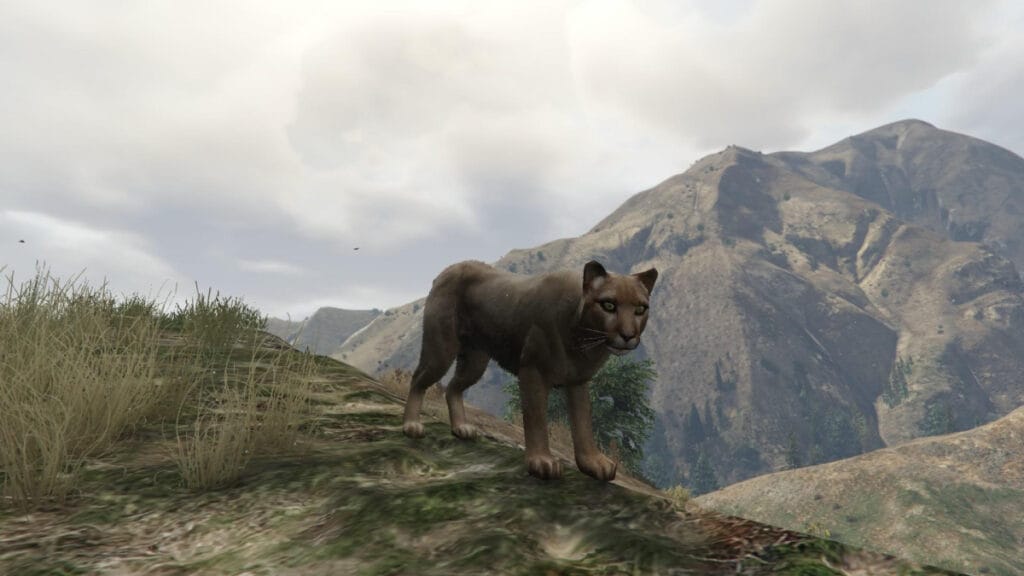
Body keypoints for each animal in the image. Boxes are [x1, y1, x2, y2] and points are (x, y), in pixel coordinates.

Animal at [402, 259, 657, 481]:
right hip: (441, 349)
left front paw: (593, 463)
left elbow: (583, 423)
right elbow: (536, 418)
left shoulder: (577, 381)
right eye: (609, 305)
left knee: (453, 387)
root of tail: (448, 269)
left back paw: (461, 428)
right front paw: (541, 462)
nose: (628, 335)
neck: (583, 338)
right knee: (418, 379)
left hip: (475, 361)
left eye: (640, 309)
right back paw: (411, 425)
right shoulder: (533, 371)